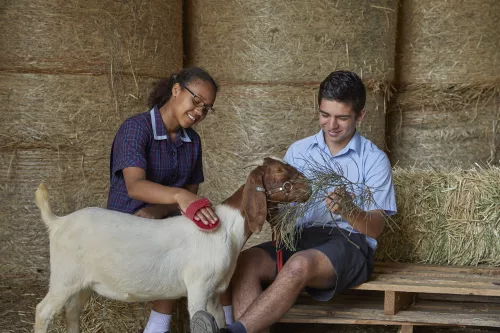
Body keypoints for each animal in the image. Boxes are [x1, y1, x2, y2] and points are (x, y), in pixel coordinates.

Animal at [33, 156, 308, 332]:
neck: (227, 229)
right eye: (279, 171)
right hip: (64, 277)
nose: (310, 185)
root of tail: (58, 222)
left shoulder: (215, 291)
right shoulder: (198, 287)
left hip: (83, 283)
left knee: (72, 313)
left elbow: (220, 321)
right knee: (43, 311)